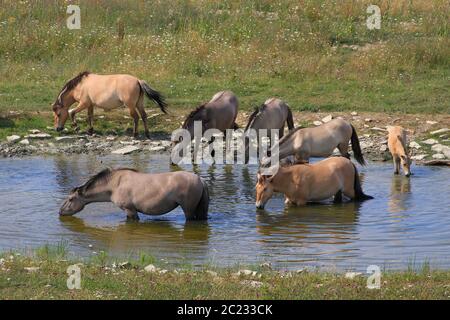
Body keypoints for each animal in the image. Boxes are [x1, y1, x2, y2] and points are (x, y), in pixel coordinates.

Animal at [58, 168, 211, 220]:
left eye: (70, 199)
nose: (60, 211)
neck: (114, 185)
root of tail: (200, 180)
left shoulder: (129, 209)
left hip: (188, 209)